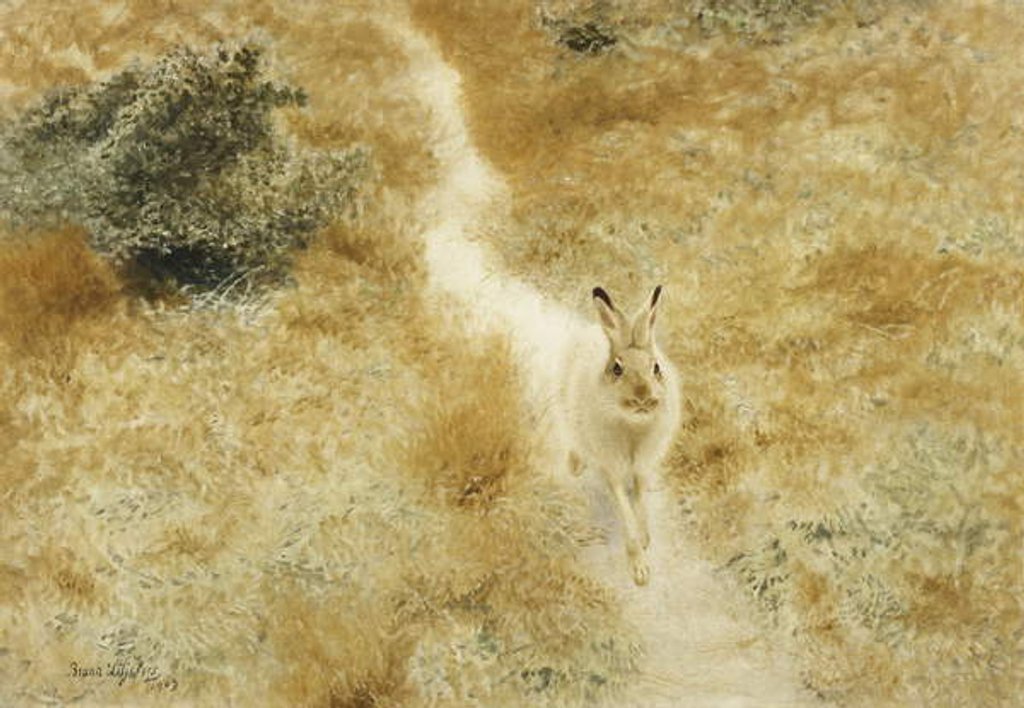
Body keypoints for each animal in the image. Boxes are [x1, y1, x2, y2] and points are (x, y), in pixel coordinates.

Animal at [560, 285, 681, 586]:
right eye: (617, 368)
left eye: (656, 368)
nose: (643, 398)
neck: (633, 427)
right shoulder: (611, 468)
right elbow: (626, 512)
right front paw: (640, 571)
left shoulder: (641, 466)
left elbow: (638, 502)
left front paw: (646, 536)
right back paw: (575, 465)